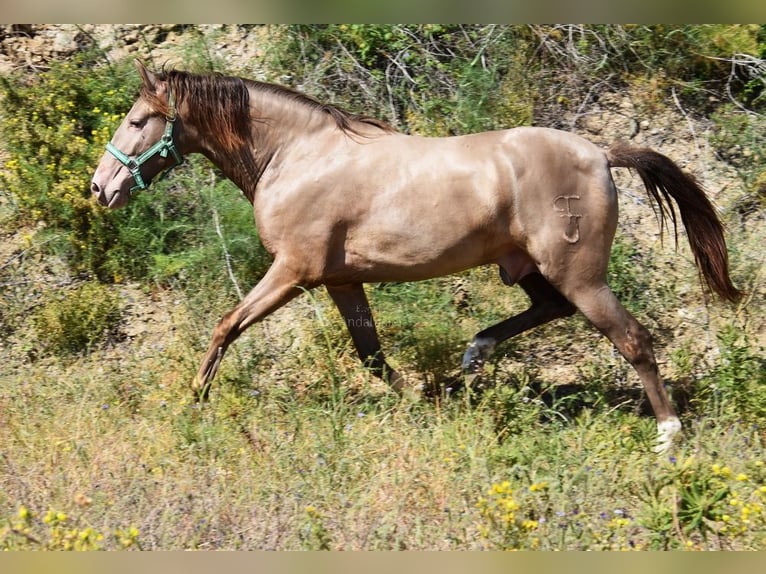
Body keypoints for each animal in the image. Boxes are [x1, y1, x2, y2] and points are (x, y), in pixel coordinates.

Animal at [91, 59, 744, 454]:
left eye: (138, 120)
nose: (101, 189)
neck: (297, 156)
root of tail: (601, 152)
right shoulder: (340, 280)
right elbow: (372, 355)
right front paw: (419, 399)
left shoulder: (294, 272)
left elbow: (227, 325)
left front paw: (194, 400)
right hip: (526, 267)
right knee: (548, 311)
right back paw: (473, 355)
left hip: (578, 273)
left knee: (632, 339)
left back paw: (668, 435)